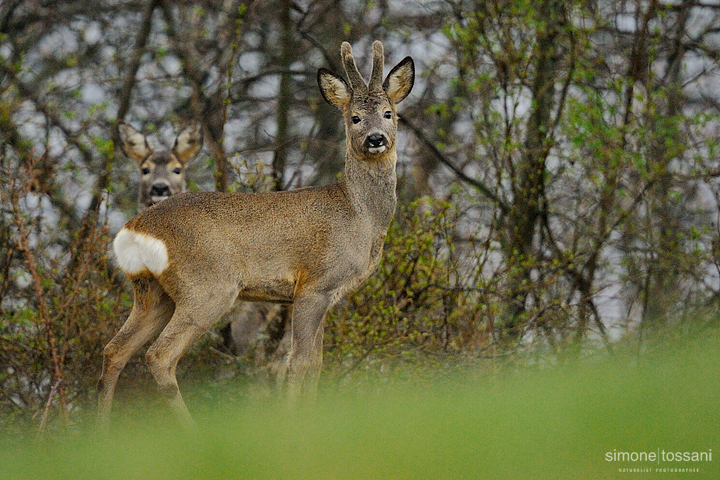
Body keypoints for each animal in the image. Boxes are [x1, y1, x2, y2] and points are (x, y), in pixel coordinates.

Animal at [98, 39, 414, 426]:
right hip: (207, 287)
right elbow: (299, 363)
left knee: (115, 349)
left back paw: (100, 430)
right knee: (159, 355)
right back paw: (192, 431)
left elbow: (315, 364)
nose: (375, 139)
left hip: (152, 292)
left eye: (388, 113)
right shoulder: (315, 285)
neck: (359, 215)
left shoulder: (326, 294)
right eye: (354, 117)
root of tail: (134, 229)